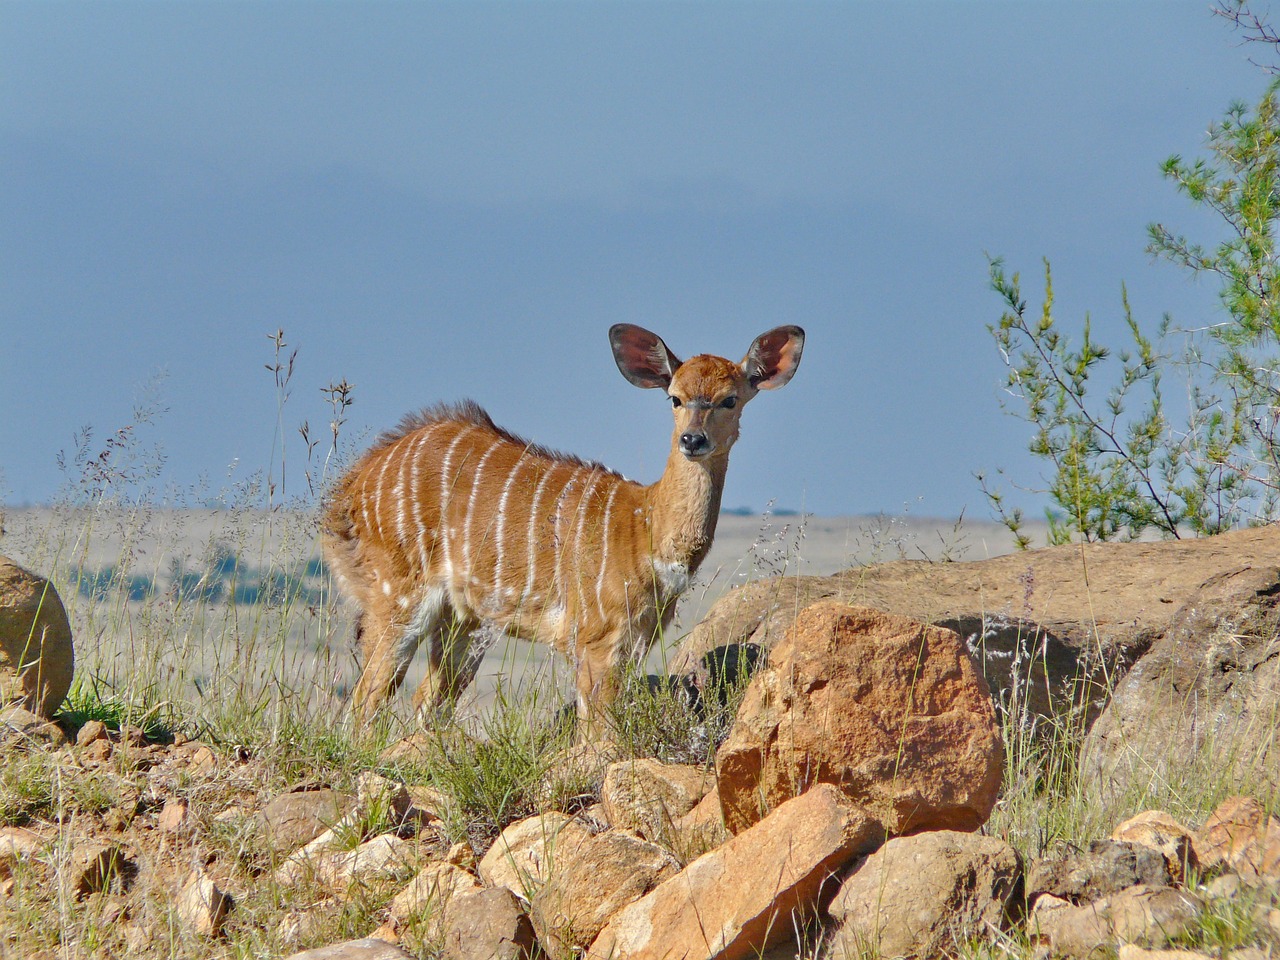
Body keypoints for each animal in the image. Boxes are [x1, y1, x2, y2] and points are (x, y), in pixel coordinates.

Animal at [322, 325, 798, 737]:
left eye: (730, 399)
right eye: (675, 398)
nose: (693, 441)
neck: (645, 528)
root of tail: (353, 484)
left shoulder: (635, 641)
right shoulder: (596, 638)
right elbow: (598, 737)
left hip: (463, 622)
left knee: (426, 702)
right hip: (400, 597)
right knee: (367, 700)